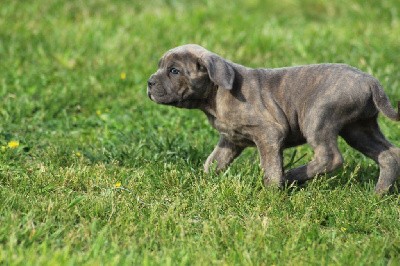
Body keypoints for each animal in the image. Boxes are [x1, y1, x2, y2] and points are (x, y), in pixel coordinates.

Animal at [147, 43, 400, 193]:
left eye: (174, 71)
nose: (149, 83)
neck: (215, 95)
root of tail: (371, 81)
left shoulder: (269, 133)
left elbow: (270, 166)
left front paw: (272, 193)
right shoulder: (230, 140)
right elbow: (213, 162)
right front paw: (203, 182)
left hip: (318, 118)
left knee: (330, 157)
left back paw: (293, 176)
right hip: (359, 128)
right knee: (389, 154)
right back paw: (379, 194)